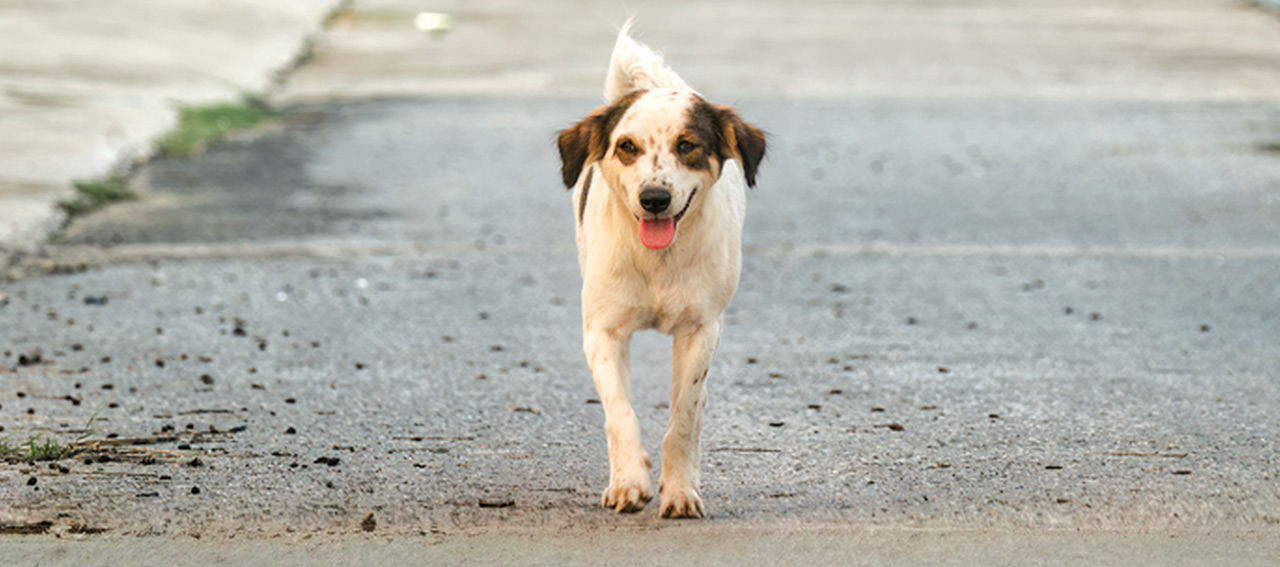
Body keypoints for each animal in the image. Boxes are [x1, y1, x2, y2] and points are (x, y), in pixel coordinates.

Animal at [555, 22, 762, 519]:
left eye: (686, 146)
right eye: (626, 147)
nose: (654, 198)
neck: (657, 261)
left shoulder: (700, 331)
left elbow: (684, 416)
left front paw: (680, 490)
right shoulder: (603, 332)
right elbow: (620, 413)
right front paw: (630, 480)